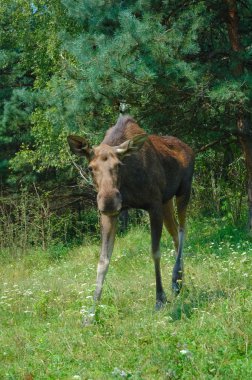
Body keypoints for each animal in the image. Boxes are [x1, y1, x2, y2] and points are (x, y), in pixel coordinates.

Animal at [67, 115, 195, 312]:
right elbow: (103, 260)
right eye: (90, 167)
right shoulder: (110, 214)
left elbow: (155, 252)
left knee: (182, 229)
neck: (127, 183)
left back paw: (176, 279)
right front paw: (92, 310)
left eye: (119, 165)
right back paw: (180, 281)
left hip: (184, 191)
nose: (109, 200)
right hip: (167, 200)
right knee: (175, 233)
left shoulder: (154, 205)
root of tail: (190, 148)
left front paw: (160, 298)